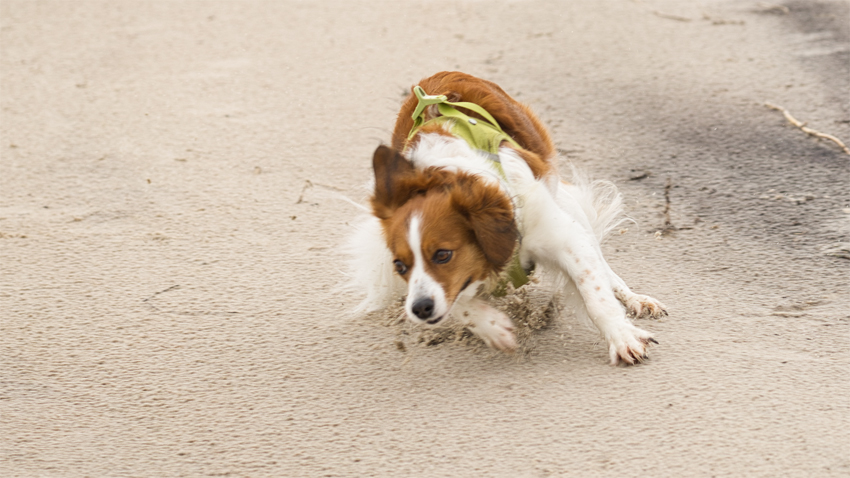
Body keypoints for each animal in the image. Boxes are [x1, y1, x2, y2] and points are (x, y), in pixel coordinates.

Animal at [344, 71, 664, 364]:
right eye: (399, 265)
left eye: (443, 255)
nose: (420, 309)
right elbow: (460, 303)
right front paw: (492, 327)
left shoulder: (564, 236)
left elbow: (597, 296)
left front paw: (623, 338)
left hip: (566, 203)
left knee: (604, 267)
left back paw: (635, 299)